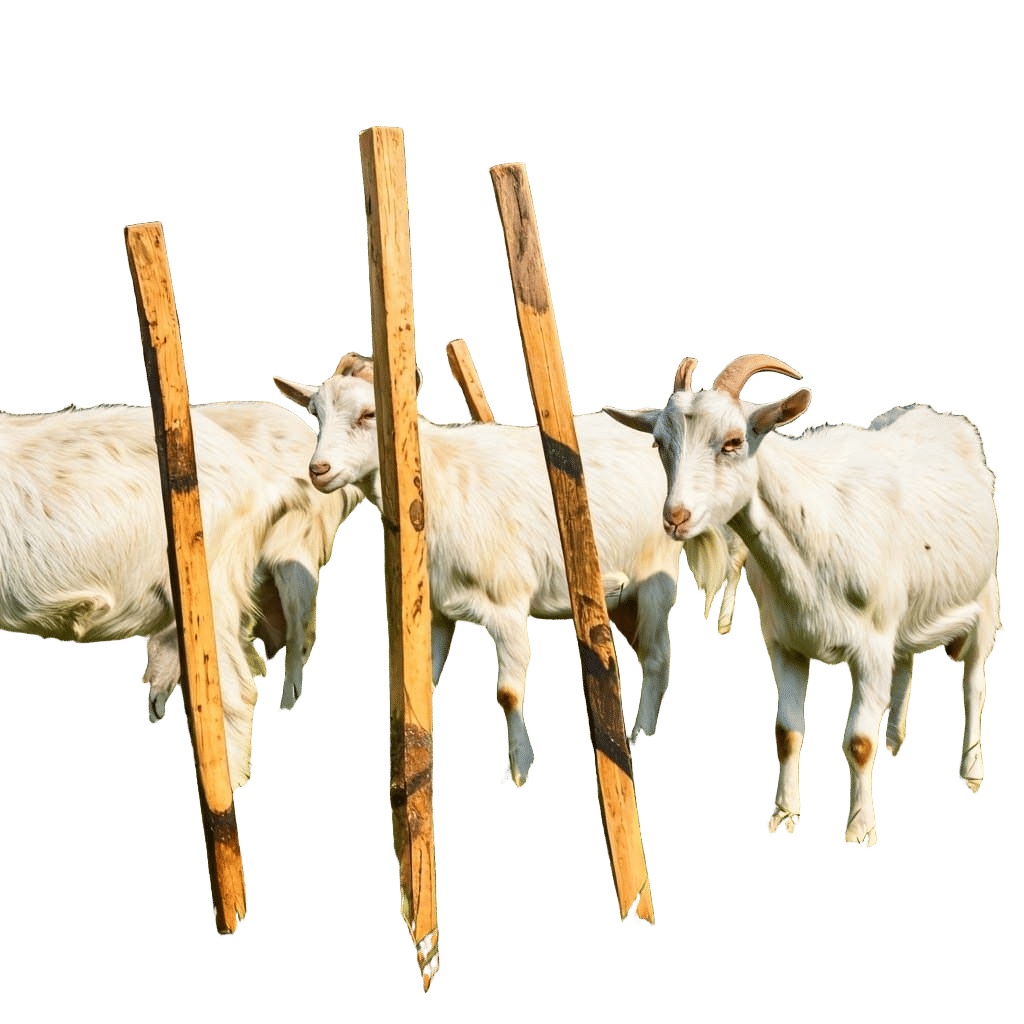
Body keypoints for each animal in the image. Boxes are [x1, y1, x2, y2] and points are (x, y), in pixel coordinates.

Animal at [272, 353, 741, 787]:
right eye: (315, 413)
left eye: (369, 414)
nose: (318, 470)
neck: (439, 484)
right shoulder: (439, 610)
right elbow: (427, 683)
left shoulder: (508, 605)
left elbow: (508, 693)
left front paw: (519, 769)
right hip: (620, 596)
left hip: (655, 575)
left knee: (658, 657)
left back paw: (640, 737)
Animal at [605, 354, 1001, 849]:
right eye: (659, 443)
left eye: (734, 441)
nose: (675, 518)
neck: (817, 531)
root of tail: (939, 415)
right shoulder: (785, 643)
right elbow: (786, 733)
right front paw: (783, 813)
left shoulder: (871, 646)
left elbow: (859, 743)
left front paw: (860, 828)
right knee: (906, 665)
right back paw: (896, 739)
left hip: (985, 596)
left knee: (974, 684)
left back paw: (971, 771)